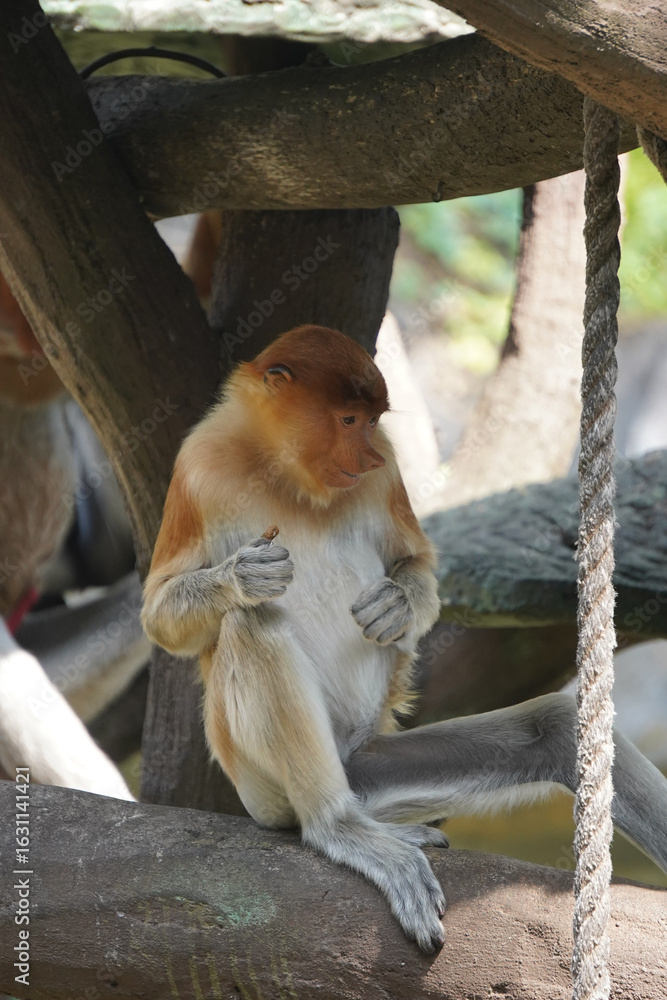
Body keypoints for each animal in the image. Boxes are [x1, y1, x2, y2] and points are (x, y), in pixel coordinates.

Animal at [142, 324, 667, 952]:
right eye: (348, 419)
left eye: (372, 423)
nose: (366, 456)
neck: (284, 473)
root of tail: (342, 764)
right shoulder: (197, 462)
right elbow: (159, 612)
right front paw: (245, 576)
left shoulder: (388, 469)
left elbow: (416, 562)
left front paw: (397, 604)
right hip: (259, 786)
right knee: (252, 624)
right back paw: (342, 828)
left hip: (370, 769)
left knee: (554, 727)